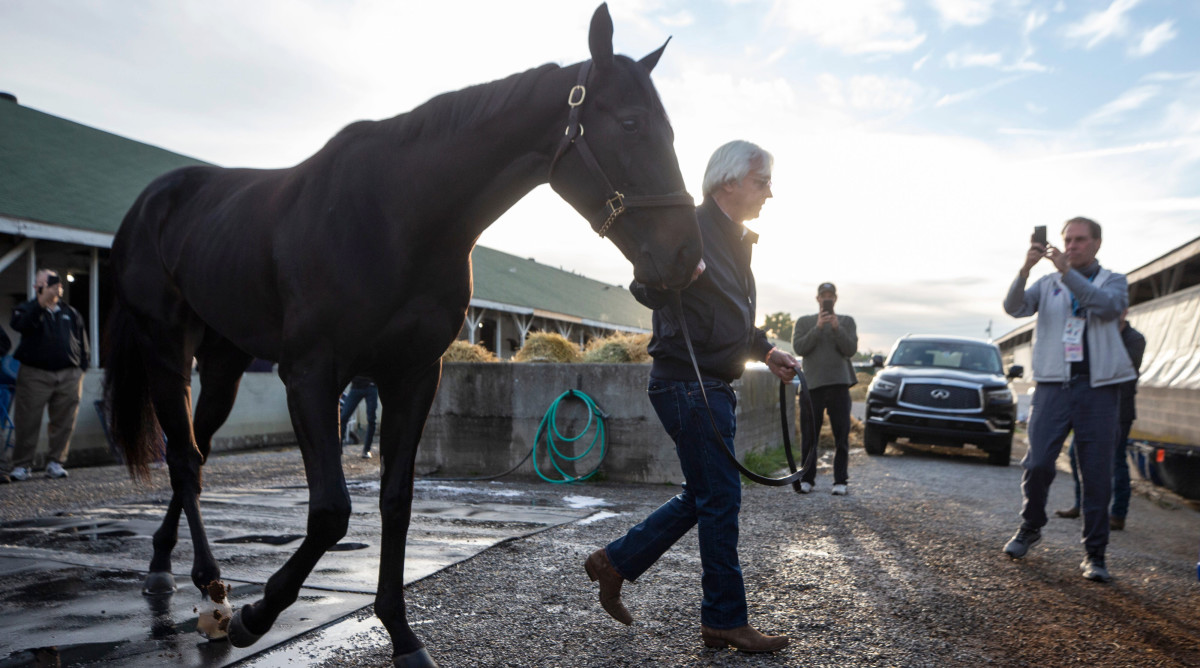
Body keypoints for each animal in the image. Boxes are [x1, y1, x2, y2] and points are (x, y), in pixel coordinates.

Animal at [104, 5, 700, 666]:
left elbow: (396, 499)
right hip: (167, 348)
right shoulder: (310, 374)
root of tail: (152, 201)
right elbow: (332, 512)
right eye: (631, 123)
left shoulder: (413, 374)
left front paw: (401, 633)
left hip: (225, 360)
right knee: (184, 457)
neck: (399, 212)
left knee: (198, 452)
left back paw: (176, 570)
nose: (687, 259)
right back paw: (207, 586)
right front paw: (257, 616)